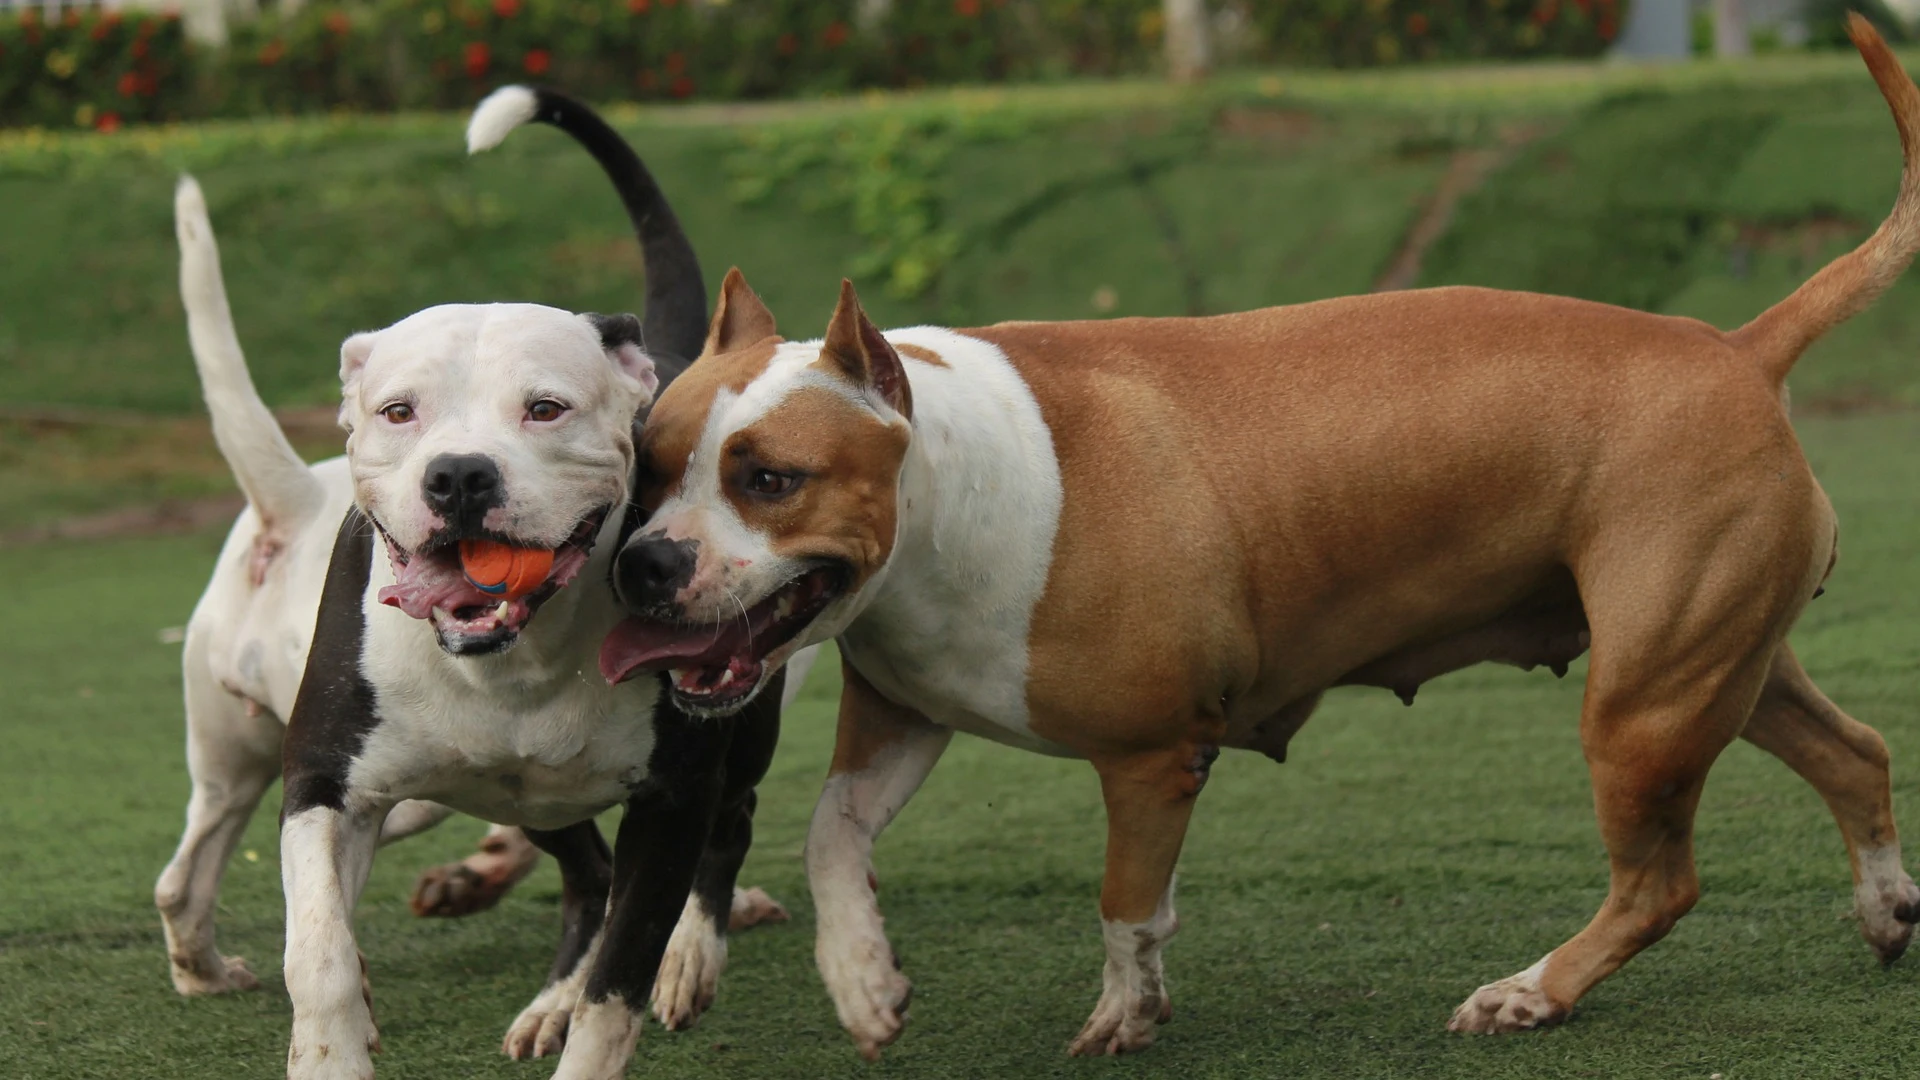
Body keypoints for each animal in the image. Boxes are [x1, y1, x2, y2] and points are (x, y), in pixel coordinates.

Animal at [595, 21, 1920, 1053]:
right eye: (645, 465)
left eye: (770, 479)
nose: (643, 564)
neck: (942, 486)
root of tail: (1740, 346)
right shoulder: (904, 715)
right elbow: (831, 834)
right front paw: (863, 980)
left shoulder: (1149, 756)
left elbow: (1126, 901)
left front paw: (1125, 1015)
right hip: (1715, 663)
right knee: (1854, 753)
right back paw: (1885, 910)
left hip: (1644, 703)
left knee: (1661, 881)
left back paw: (1533, 993)